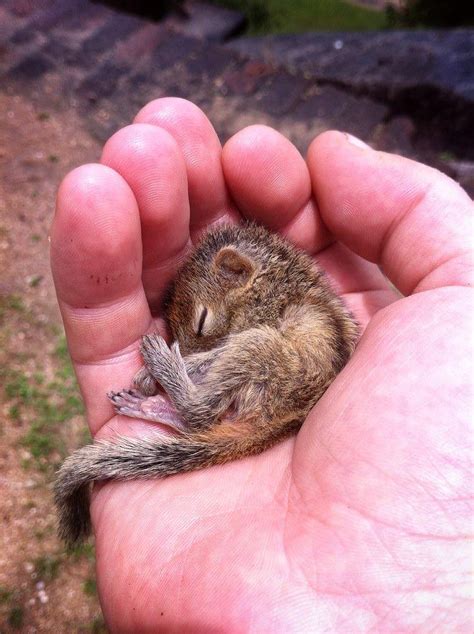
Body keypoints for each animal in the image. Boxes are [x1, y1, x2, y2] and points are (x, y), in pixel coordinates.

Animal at [54, 223, 360, 544]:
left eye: (201, 322)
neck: (270, 277)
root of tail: (290, 417)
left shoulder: (258, 315)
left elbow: (209, 358)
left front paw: (155, 372)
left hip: (265, 354)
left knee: (200, 413)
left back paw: (164, 370)